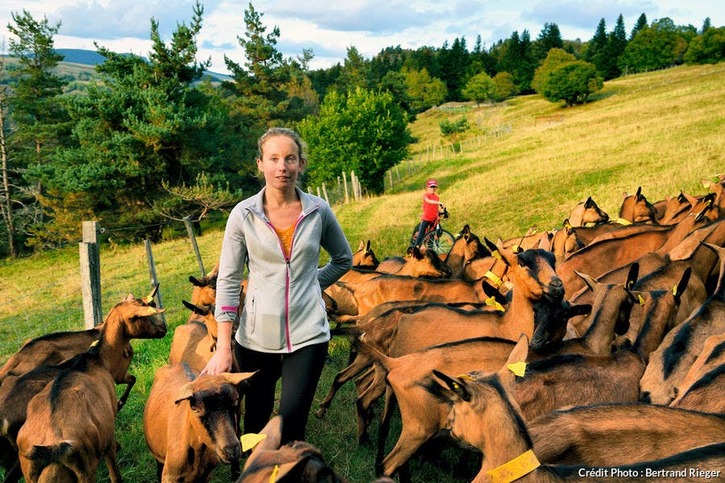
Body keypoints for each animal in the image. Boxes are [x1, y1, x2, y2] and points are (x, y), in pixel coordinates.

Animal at [16, 292, 166, 483]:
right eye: (142, 316)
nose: (164, 328)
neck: (97, 360)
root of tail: (53, 450)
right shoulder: (108, 435)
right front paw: (120, 404)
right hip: (86, 468)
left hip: (31, 471)